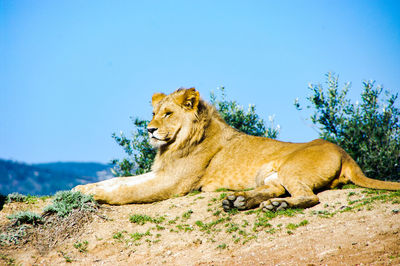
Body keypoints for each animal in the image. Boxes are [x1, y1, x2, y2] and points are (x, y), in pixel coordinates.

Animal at [73, 88, 398, 211]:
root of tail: (346, 155)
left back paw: (273, 206)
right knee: (277, 189)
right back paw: (239, 201)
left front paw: (96, 195)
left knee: (309, 197)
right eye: (153, 113)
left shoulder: (173, 183)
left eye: (167, 114)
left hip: (291, 168)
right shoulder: (162, 172)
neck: (174, 144)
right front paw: (83, 188)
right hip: (268, 173)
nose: (149, 130)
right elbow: (120, 181)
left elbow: (127, 191)